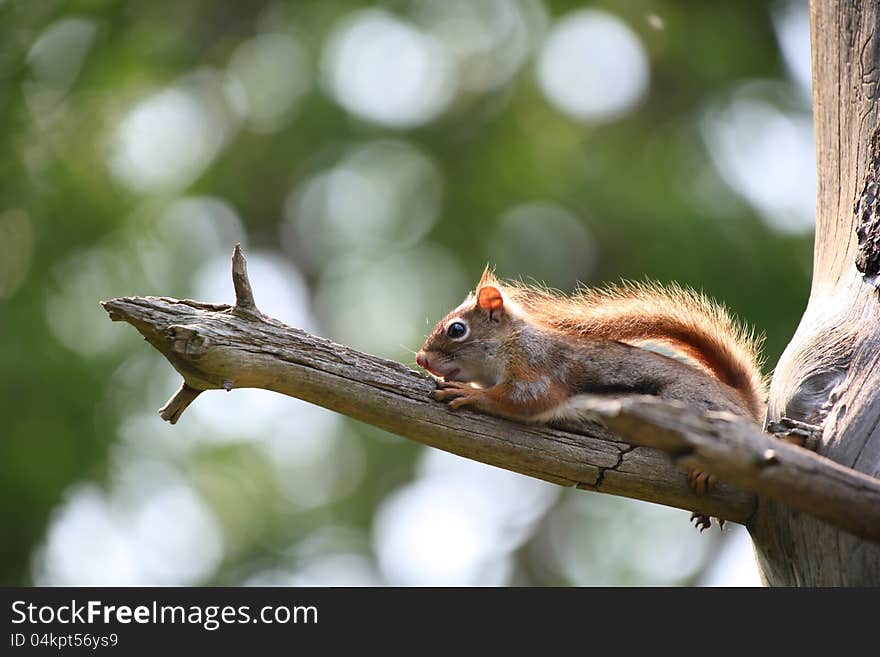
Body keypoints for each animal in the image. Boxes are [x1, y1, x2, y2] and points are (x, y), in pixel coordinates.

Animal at [416, 266, 768, 528]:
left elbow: (525, 400)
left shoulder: (539, 366)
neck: (510, 343)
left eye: (457, 330)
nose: (421, 360)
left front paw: (471, 394)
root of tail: (745, 404)